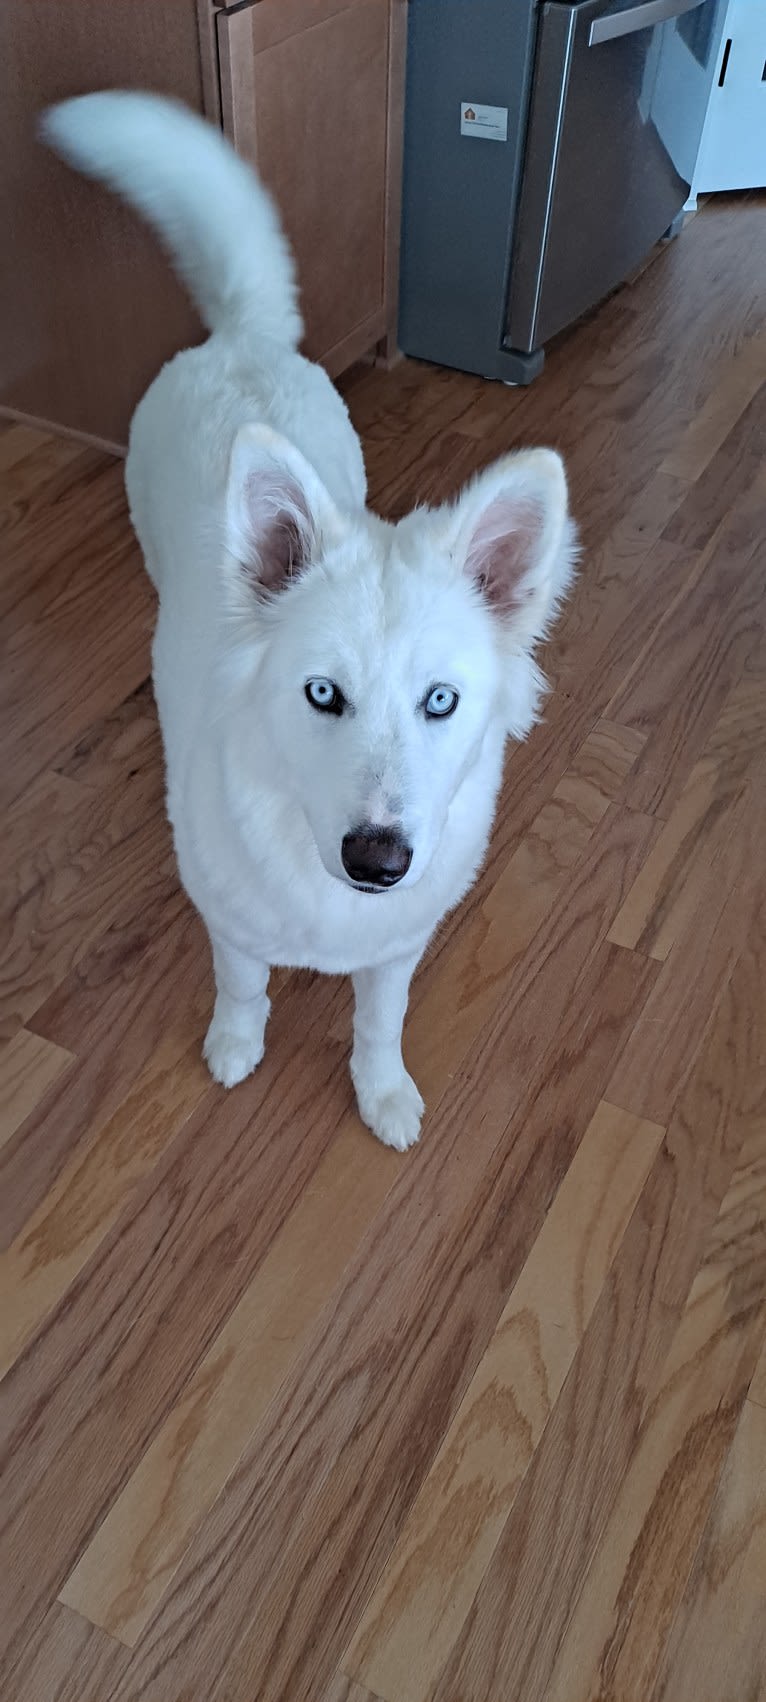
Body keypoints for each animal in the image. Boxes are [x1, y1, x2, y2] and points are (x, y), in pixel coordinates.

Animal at [43, 96, 575, 1157]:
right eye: (322, 693)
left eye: (441, 702)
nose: (379, 860)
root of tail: (241, 340)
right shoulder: (234, 927)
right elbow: (244, 989)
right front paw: (234, 1048)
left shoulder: (398, 948)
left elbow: (379, 1021)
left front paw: (382, 1092)